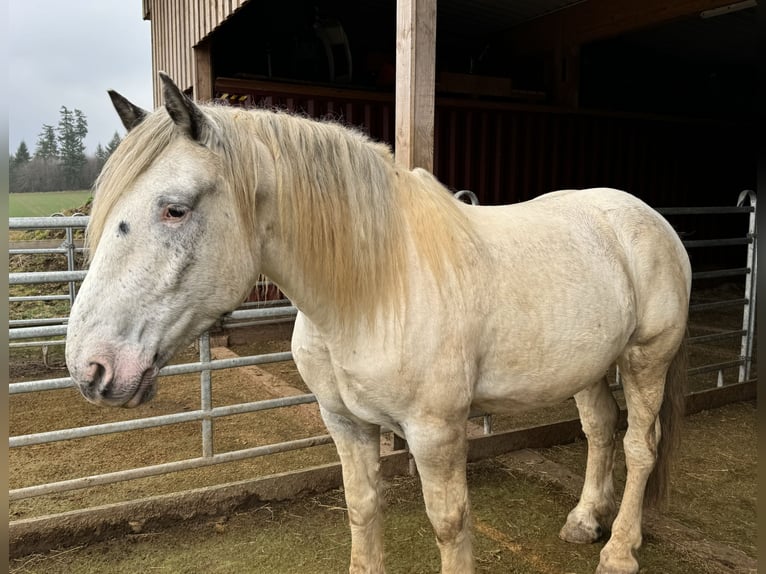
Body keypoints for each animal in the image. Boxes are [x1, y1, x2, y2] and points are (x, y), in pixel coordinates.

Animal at [64, 73, 688, 574]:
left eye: (175, 208)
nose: (90, 367)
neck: (375, 288)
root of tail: (646, 218)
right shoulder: (345, 423)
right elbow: (362, 508)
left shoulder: (436, 433)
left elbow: (449, 523)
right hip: (590, 368)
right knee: (601, 430)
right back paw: (584, 521)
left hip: (646, 359)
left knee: (639, 445)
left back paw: (620, 551)